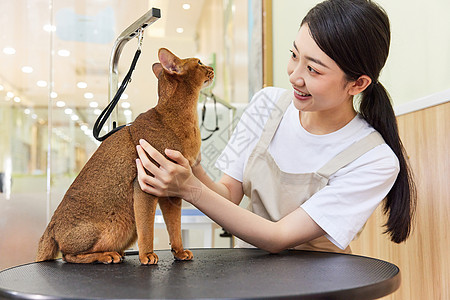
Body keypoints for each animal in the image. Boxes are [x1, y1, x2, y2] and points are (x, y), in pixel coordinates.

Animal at [35, 47, 214, 264]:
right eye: (199, 62)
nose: (212, 68)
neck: (178, 116)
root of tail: (50, 227)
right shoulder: (145, 184)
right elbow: (147, 227)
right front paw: (147, 255)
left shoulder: (171, 190)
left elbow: (175, 226)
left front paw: (179, 251)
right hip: (112, 226)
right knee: (68, 255)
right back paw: (107, 255)